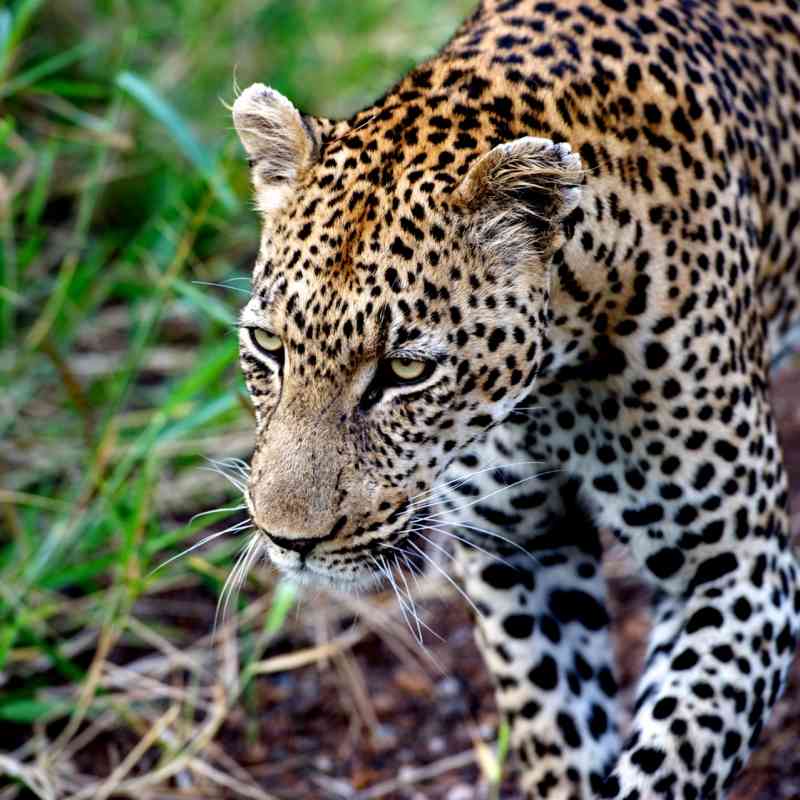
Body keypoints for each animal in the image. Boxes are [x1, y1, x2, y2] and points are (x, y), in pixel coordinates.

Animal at [228, 1, 800, 797]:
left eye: (404, 372)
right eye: (268, 345)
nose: (288, 540)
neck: (551, 381)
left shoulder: (736, 565)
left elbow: (672, 758)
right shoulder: (521, 553)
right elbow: (559, 732)